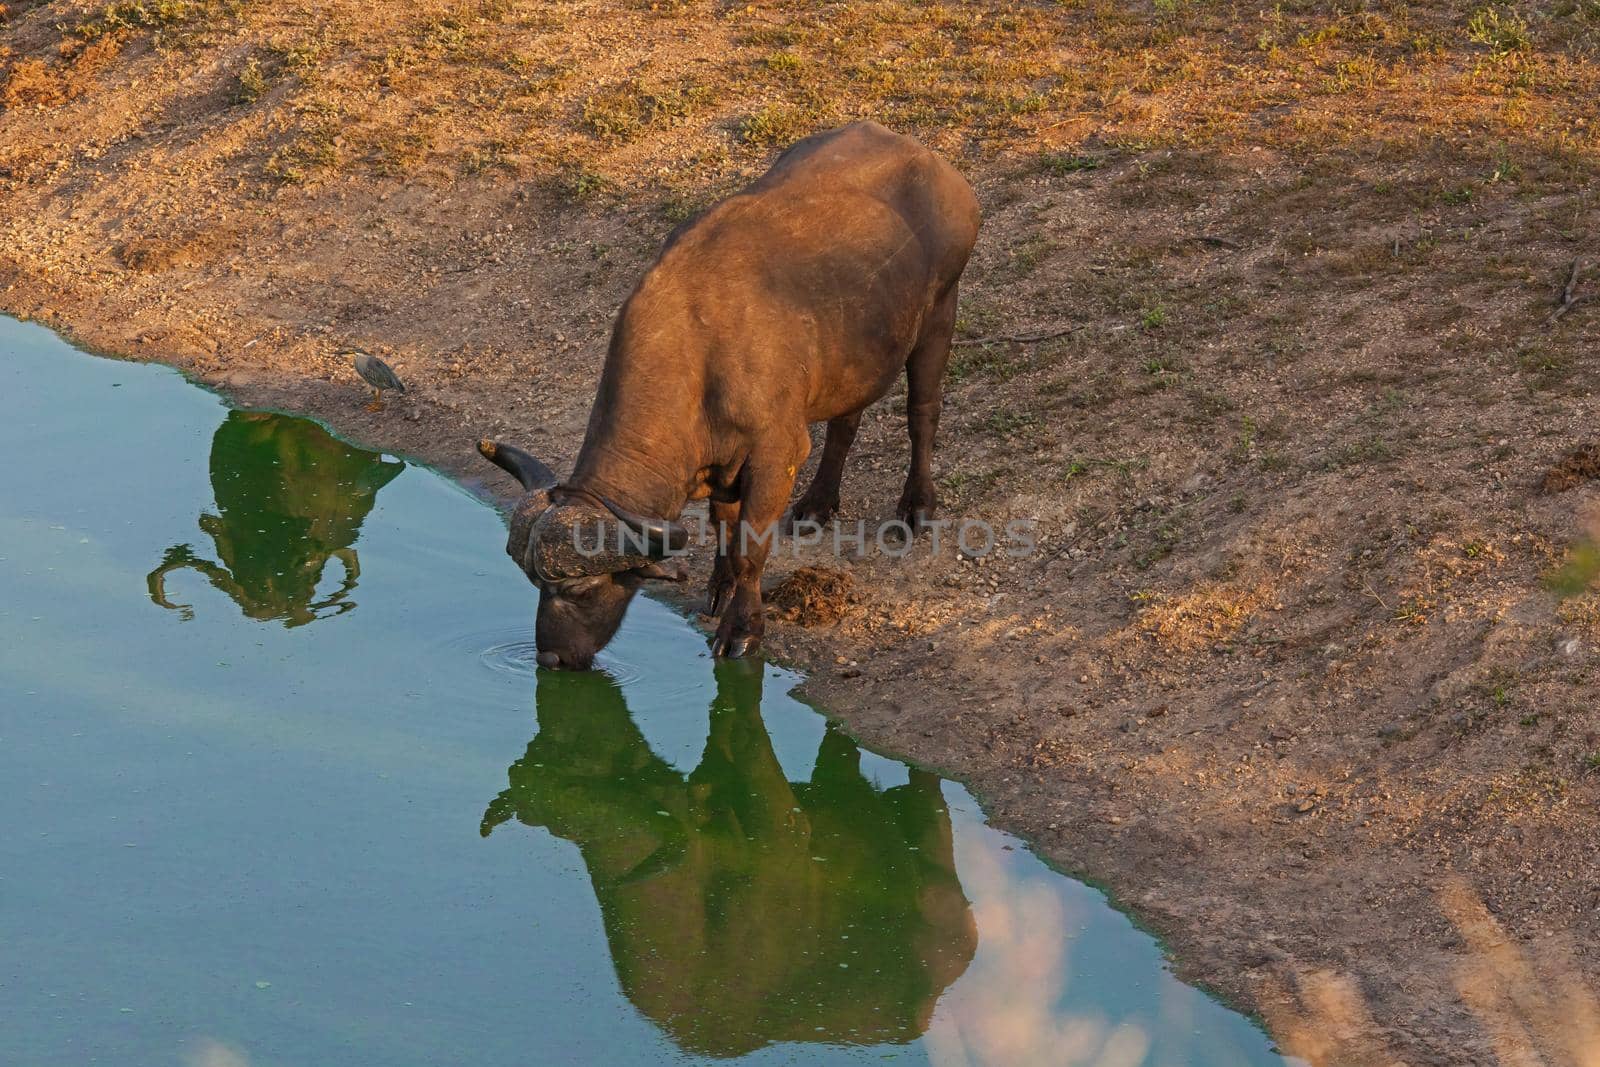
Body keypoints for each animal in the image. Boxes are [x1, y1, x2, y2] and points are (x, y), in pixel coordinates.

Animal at [476, 119, 972, 668]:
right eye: (533, 582)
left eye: (580, 588)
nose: (550, 658)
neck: (699, 353)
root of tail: (936, 167)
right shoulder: (719, 463)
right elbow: (723, 527)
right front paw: (719, 588)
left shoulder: (776, 456)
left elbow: (750, 548)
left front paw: (744, 627)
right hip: (857, 358)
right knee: (847, 420)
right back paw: (818, 503)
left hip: (940, 312)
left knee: (922, 411)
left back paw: (917, 505)